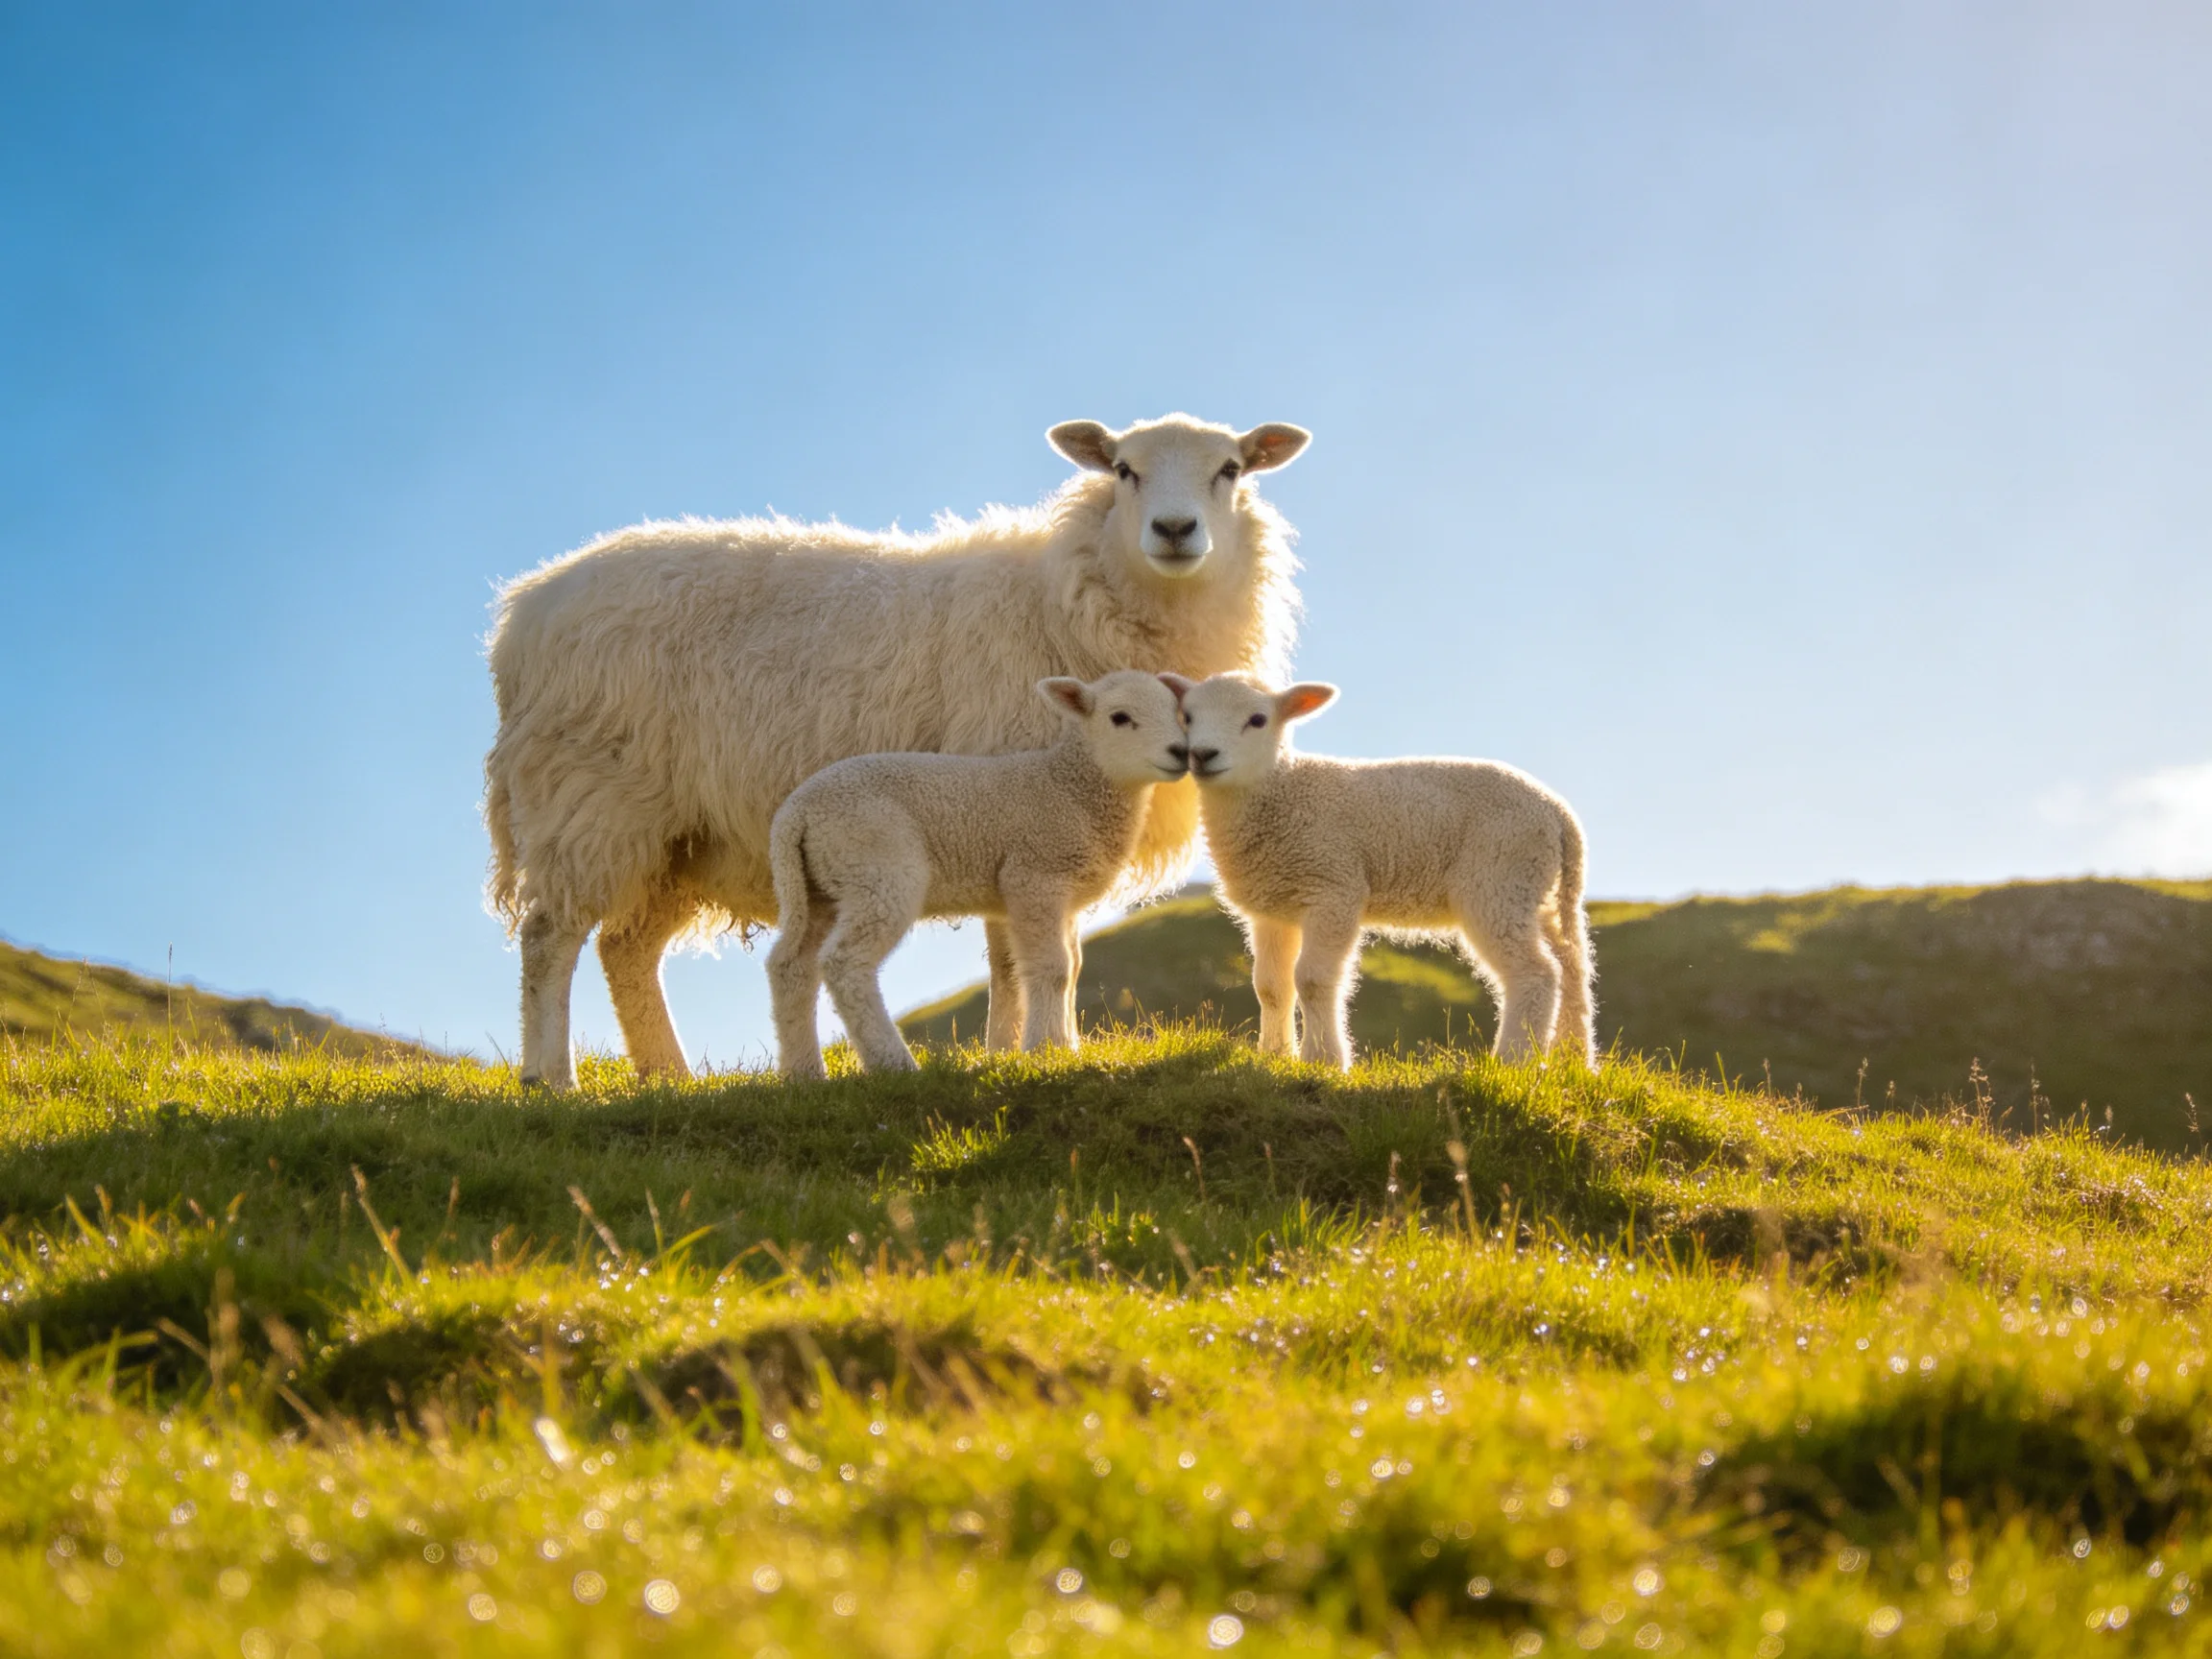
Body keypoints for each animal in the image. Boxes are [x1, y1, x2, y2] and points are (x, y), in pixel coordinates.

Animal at [766, 671, 1189, 1079]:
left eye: (1179, 713)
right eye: (1119, 717)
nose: (1180, 752)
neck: (1070, 786)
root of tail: (796, 812)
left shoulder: (1063, 896)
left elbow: (1073, 967)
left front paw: (1067, 1048)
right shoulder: (1033, 876)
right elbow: (1054, 968)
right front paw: (1043, 1049)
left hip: (820, 885)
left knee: (790, 965)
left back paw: (803, 1073)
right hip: (877, 867)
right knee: (845, 962)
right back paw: (892, 1063)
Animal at [1170, 673, 1595, 1071]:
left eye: (1258, 720)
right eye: (1187, 717)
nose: (1202, 755)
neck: (1281, 789)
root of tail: (1559, 815)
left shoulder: (1334, 886)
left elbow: (1312, 979)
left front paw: (1324, 1060)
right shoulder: (1273, 907)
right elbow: (1271, 986)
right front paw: (1274, 1056)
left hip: (1497, 880)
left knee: (1537, 972)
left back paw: (1513, 1059)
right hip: (1534, 891)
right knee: (1573, 969)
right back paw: (1571, 1060)